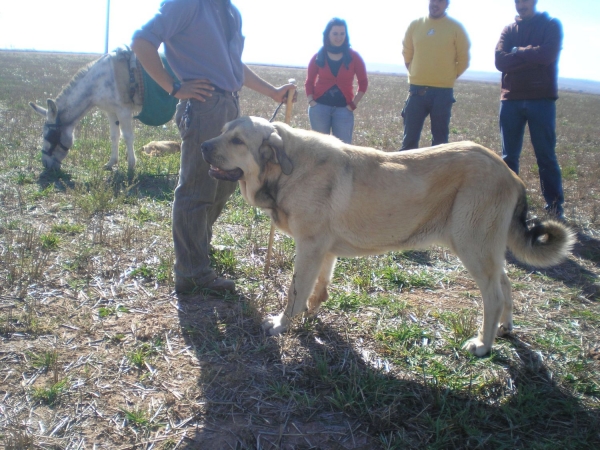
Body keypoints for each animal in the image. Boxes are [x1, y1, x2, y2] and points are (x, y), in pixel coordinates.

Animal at [200, 115, 572, 356]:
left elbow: (295, 290)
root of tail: (510, 173)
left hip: (472, 247)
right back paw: (505, 328)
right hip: (488, 250)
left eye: (237, 141)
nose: (202, 145)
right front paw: (311, 312)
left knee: (493, 295)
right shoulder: (323, 249)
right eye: (222, 131)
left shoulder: (309, 247)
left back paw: (483, 343)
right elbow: (319, 286)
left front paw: (281, 323)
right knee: (506, 283)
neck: (286, 169)